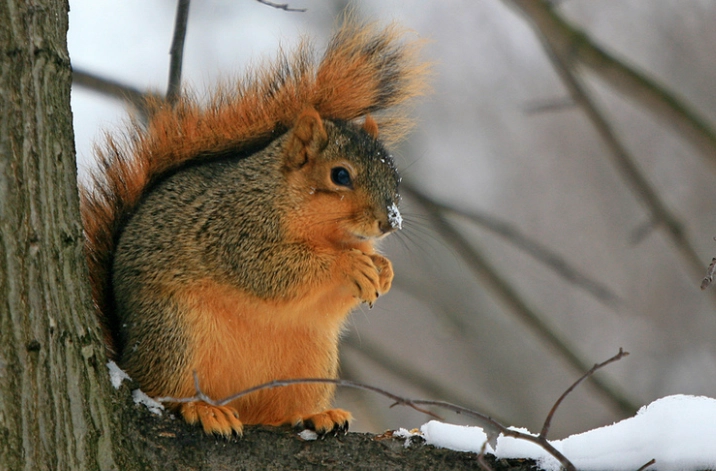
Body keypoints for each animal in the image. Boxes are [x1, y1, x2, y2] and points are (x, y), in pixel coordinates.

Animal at [80, 18, 428, 436]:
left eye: (395, 176)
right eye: (340, 175)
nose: (389, 222)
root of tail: (129, 361)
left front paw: (383, 269)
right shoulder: (235, 231)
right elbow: (271, 271)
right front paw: (348, 265)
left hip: (310, 363)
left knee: (278, 412)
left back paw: (316, 415)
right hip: (175, 336)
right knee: (166, 393)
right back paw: (204, 410)